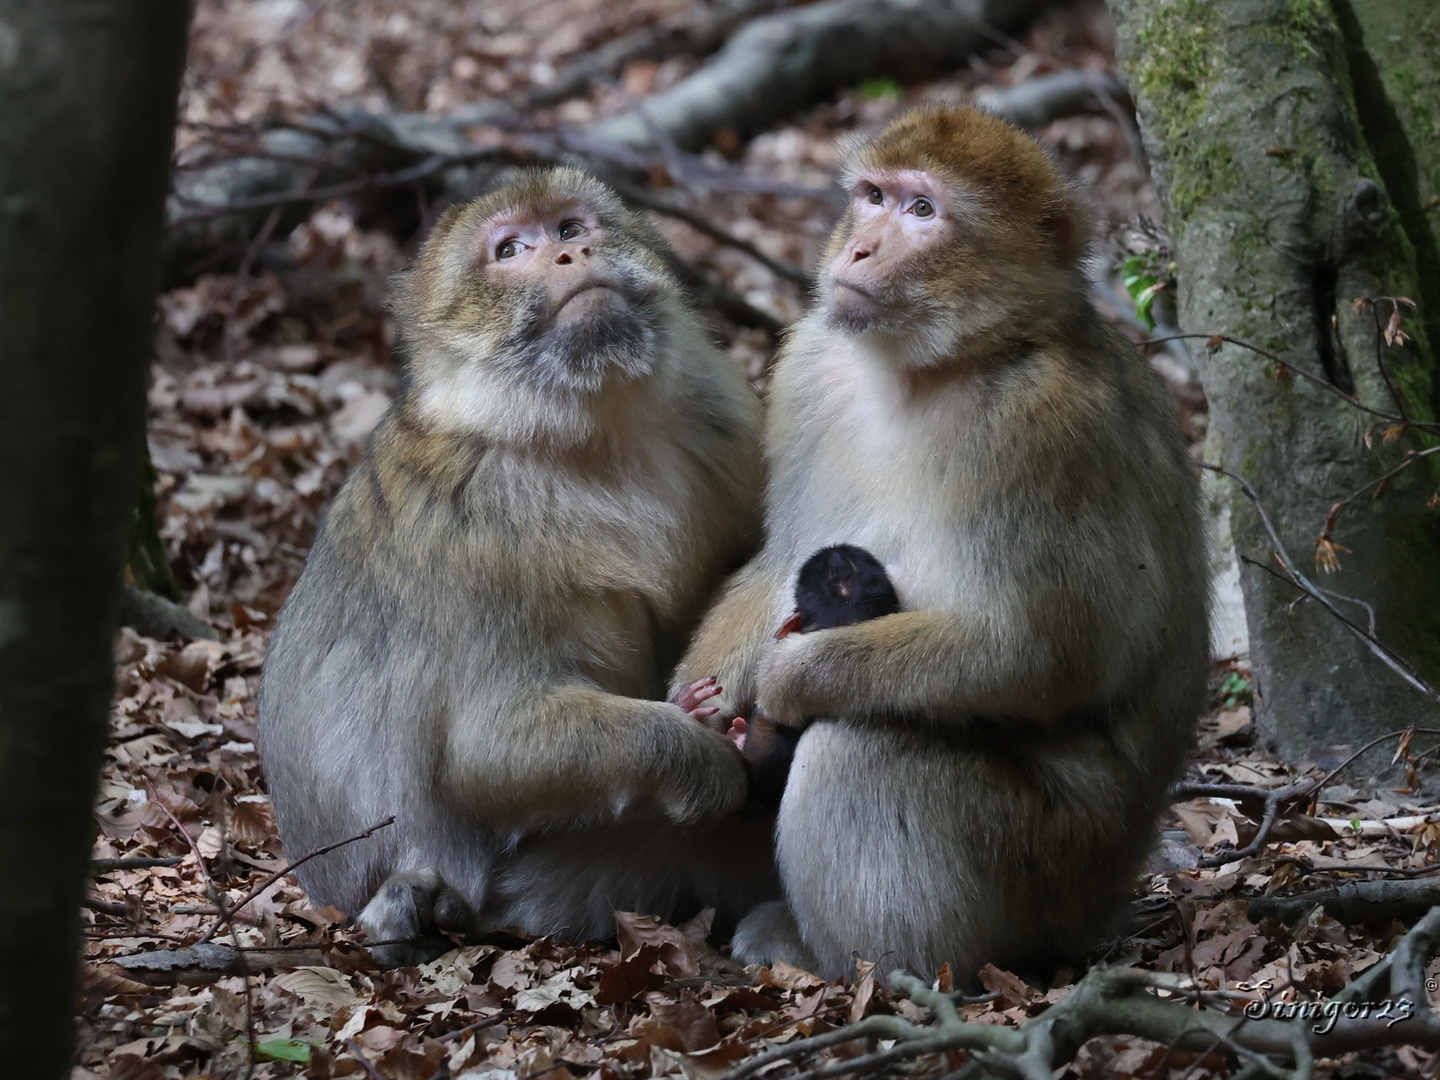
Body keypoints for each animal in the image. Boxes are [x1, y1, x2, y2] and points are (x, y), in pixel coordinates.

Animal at [259, 171, 777, 973]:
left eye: (569, 225)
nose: (572, 253)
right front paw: (698, 754)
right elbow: (485, 748)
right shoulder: (476, 529)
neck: (592, 427)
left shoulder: (724, 417)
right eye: (510, 250)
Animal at [673, 108, 1203, 979]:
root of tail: (1105, 900)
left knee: (862, 744)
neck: (939, 366)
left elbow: (1038, 652)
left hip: (1042, 869)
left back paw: (859, 964)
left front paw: (790, 677)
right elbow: (779, 559)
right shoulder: (812, 366)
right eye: (874, 196)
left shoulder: (1038, 428)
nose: (859, 248)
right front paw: (697, 698)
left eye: (923, 212)